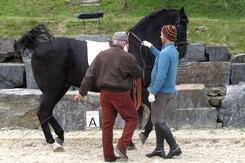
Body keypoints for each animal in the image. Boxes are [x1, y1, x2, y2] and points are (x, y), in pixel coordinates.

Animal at [14, 7, 189, 150]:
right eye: (182, 25)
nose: (183, 51)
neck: (136, 49)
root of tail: (38, 46)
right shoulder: (138, 88)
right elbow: (149, 109)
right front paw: (142, 135)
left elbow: (135, 113)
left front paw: (131, 141)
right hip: (52, 89)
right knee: (43, 112)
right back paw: (53, 142)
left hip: (60, 88)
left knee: (48, 111)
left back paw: (60, 136)